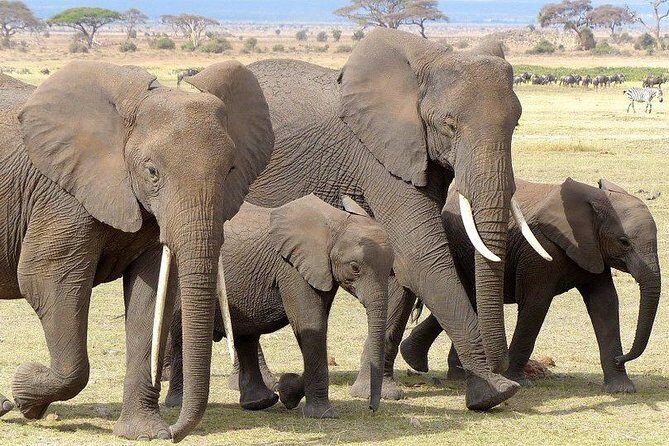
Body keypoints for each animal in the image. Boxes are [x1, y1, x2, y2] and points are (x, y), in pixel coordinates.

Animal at [0, 60, 274, 441]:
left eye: (230, 170)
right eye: (152, 172)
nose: (175, 431)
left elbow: (152, 294)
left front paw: (145, 433)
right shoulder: (61, 196)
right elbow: (47, 280)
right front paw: (25, 393)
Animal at [163, 194, 393, 418]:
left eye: (391, 269)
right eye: (355, 268)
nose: (371, 409)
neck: (334, 222)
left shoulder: (320, 270)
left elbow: (317, 326)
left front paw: (288, 391)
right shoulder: (292, 268)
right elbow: (311, 324)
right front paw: (323, 415)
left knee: (246, 336)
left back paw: (260, 402)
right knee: (182, 334)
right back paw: (177, 404)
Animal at [181, 28, 554, 410]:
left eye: (516, 124)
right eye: (449, 126)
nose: (502, 368)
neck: (427, 62)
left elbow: (399, 264)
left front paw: (379, 391)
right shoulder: (379, 157)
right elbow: (420, 255)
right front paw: (493, 393)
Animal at [400, 178, 661, 393]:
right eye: (624, 242)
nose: (622, 357)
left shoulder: (593, 251)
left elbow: (605, 305)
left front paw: (622, 389)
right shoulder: (538, 252)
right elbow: (536, 305)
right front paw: (519, 382)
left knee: (467, 300)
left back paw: (441, 369)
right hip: (456, 248)